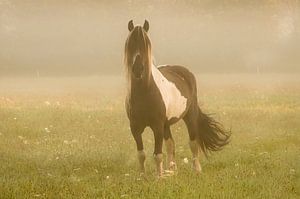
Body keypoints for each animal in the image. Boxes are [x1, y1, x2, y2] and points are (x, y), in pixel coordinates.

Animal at [123, 19, 230, 176]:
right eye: (130, 44)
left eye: (145, 45)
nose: (137, 69)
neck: (145, 92)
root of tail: (185, 72)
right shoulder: (135, 127)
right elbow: (141, 154)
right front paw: (143, 177)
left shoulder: (157, 126)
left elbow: (157, 154)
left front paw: (159, 177)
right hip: (166, 124)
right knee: (170, 144)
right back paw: (171, 170)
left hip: (189, 116)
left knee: (193, 143)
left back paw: (196, 169)